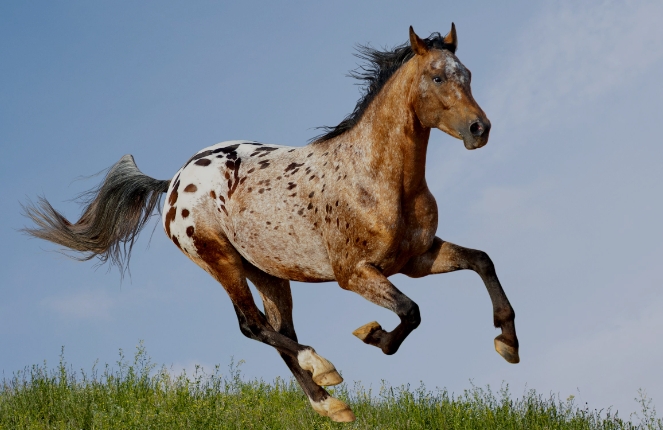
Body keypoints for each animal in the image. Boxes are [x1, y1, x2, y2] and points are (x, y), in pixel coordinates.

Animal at [24, 24, 520, 424]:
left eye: (467, 75)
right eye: (437, 77)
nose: (479, 129)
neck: (377, 178)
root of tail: (175, 181)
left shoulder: (416, 258)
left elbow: (482, 261)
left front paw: (508, 342)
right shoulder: (355, 274)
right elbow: (410, 312)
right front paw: (373, 335)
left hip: (269, 272)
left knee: (280, 331)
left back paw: (330, 405)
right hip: (219, 260)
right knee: (253, 326)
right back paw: (325, 370)